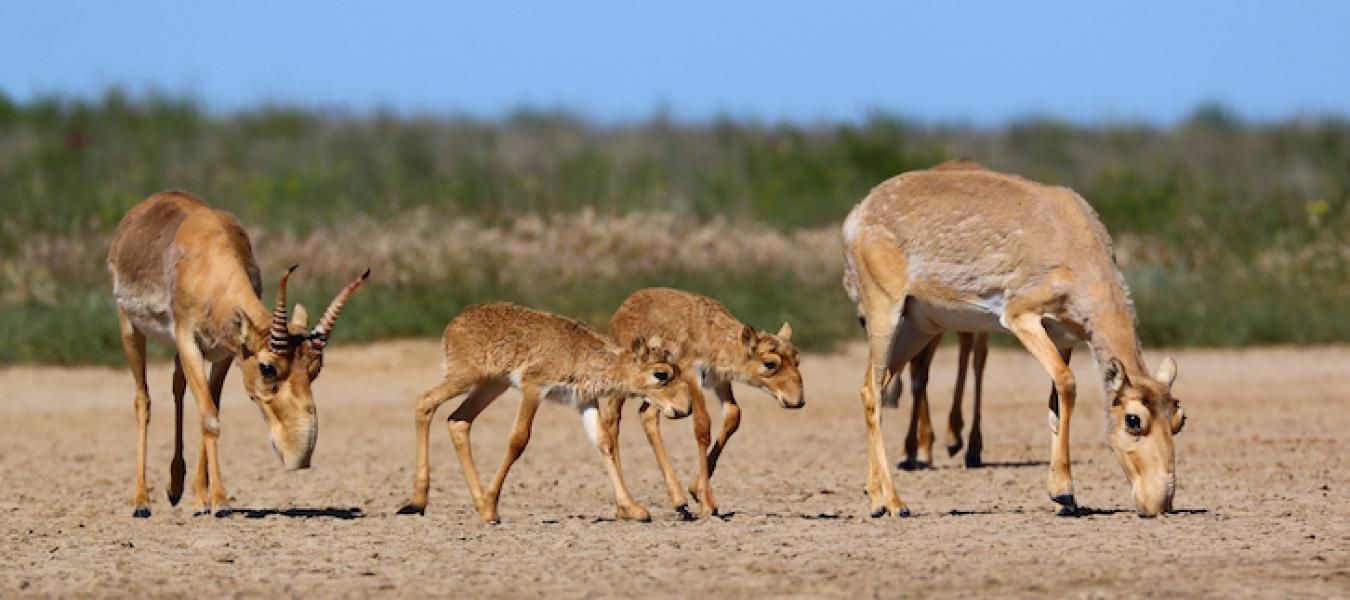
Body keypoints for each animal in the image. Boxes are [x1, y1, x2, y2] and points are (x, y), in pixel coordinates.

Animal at [108, 190, 369, 516]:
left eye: (316, 368)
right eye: (268, 367)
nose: (301, 455)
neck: (206, 260)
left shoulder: (226, 353)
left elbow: (211, 408)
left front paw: (202, 499)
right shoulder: (188, 341)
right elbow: (209, 417)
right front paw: (220, 503)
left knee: (178, 387)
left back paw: (175, 488)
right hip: (129, 327)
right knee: (143, 401)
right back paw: (141, 502)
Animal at [396, 302, 696, 521]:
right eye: (661, 374)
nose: (685, 408)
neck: (583, 355)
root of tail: (453, 324)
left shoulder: (585, 401)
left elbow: (604, 443)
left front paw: (634, 509)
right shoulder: (533, 388)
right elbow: (518, 440)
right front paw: (492, 507)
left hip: (492, 385)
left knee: (457, 420)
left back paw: (472, 501)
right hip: (465, 376)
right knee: (425, 401)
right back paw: (418, 503)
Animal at [604, 287, 799, 518]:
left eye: (797, 359)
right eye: (769, 364)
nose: (798, 400)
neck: (713, 334)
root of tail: (619, 312)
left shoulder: (720, 380)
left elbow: (733, 416)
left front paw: (695, 490)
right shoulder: (691, 375)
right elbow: (702, 426)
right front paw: (708, 503)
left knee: (646, 415)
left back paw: (677, 500)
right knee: (611, 421)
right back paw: (627, 508)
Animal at [842, 166, 1182, 518]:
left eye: (1179, 419)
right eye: (1133, 420)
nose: (1161, 504)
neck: (1072, 240)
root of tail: (858, 213)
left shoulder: (1065, 338)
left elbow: (1055, 404)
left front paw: (1065, 498)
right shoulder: (1022, 317)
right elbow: (1067, 382)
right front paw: (1064, 491)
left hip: (916, 327)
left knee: (871, 386)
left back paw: (876, 497)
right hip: (885, 312)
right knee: (874, 392)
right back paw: (895, 503)